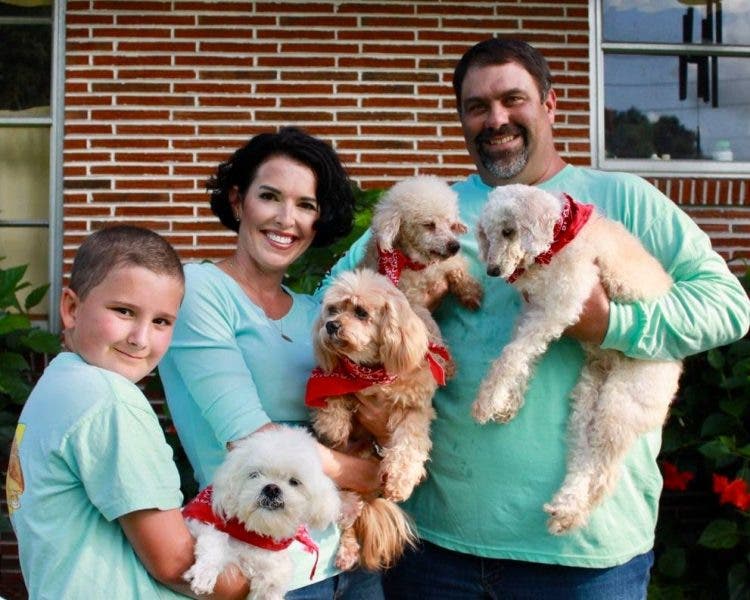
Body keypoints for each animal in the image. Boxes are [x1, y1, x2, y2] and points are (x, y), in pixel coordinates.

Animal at [184, 426, 342, 600]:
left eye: (294, 482)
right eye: (254, 474)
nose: (272, 488)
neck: (255, 534)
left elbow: (274, 580)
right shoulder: (195, 523)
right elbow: (215, 541)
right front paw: (205, 573)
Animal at [306, 270, 452, 568]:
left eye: (361, 312)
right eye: (332, 309)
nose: (330, 326)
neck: (370, 372)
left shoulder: (414, 409)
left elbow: (408, 448)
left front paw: (400, 481)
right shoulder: (334, 380)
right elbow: (331, 398)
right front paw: (332, 427)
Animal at [362, 175, 484, 310]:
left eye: (451, 225)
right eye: (429, 225)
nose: (455, 246)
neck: (419, 264)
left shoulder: (449, 262)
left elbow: (458, 270)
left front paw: (470, 291)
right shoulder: (413, 301)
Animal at [478, 183, 684, 536]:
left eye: (508, 231)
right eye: (488, 235)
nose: (493, 270)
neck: (559, 238)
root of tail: (675, 365)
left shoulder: (563, 303)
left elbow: (512, 355)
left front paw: (488, 400)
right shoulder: (534, 311)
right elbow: (520, 355)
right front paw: (507, 402)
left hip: (622, 401)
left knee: (604, 471)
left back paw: (573, 513)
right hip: (588, 395)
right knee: (582, 457)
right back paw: (564, 505)